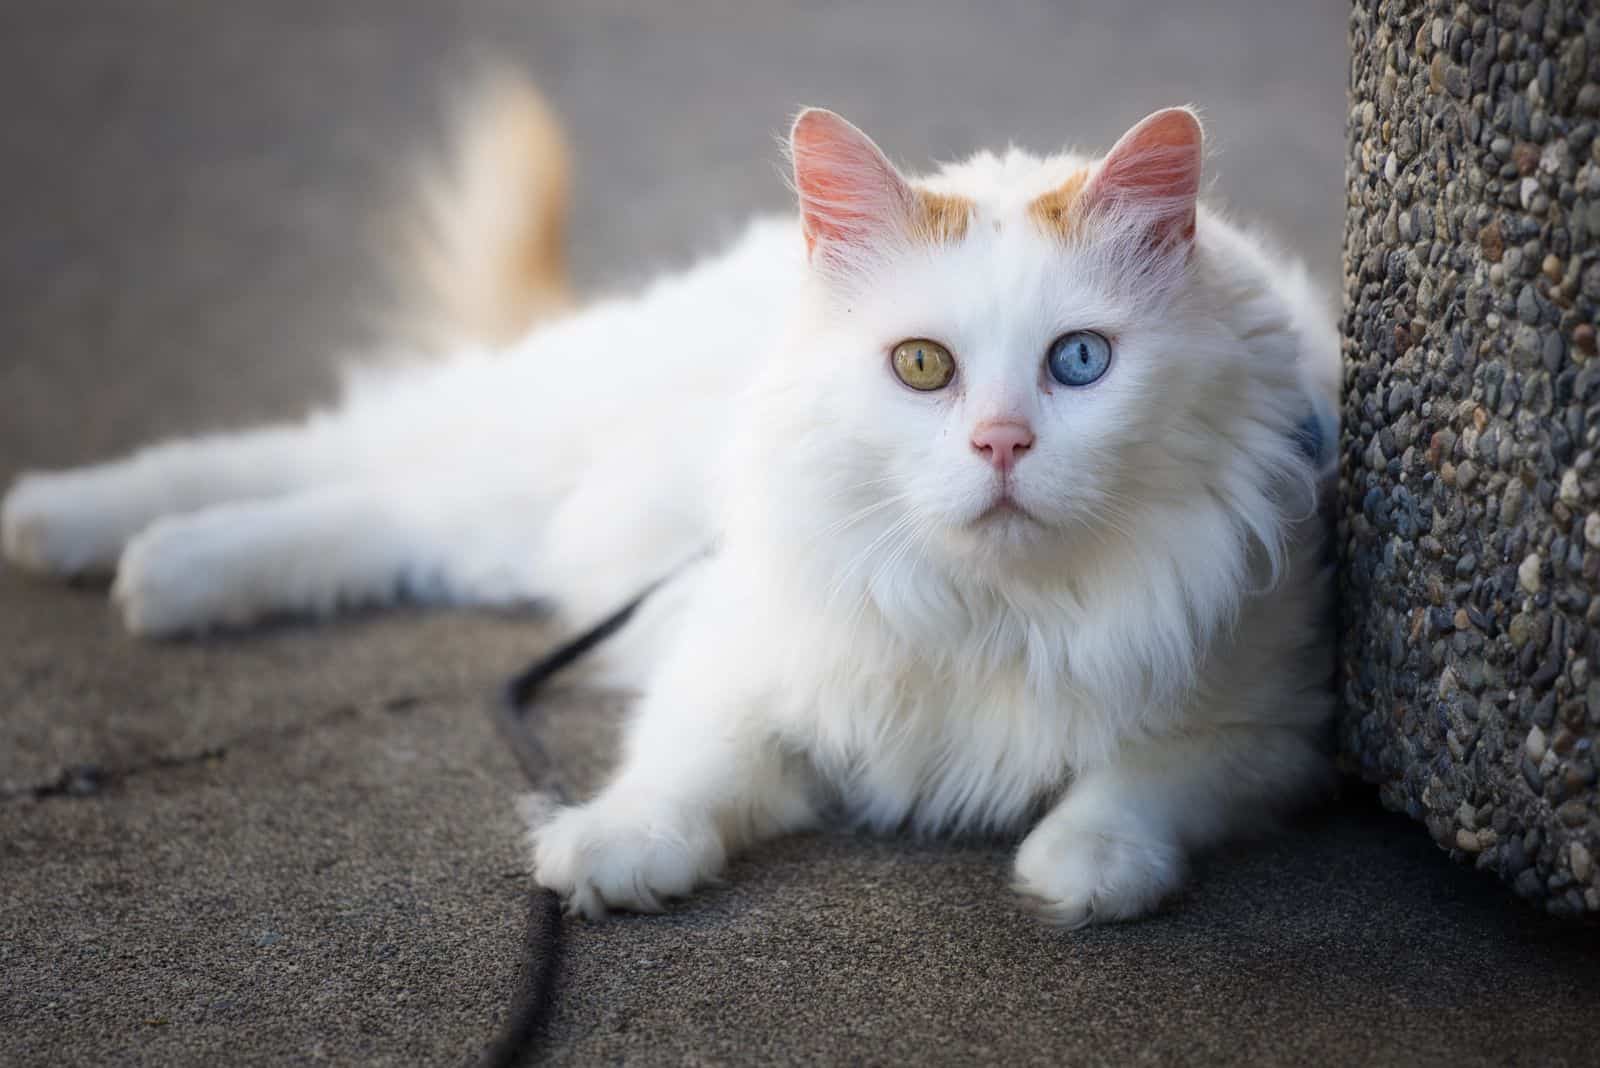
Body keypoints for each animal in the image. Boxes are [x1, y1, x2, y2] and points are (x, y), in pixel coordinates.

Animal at [3, 79, 1337, 927]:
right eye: (921, 367)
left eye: (1079, 362)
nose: (1000, 443)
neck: (992, 610)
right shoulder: (740, 644)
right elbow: (683, 764)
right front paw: (610, 853)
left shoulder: (1271, 722)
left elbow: (1144, 780)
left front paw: (1081, 867)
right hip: (517, 443)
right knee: (301, 454)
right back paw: (77, 527)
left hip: (505, 525)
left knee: (365, 518)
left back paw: (164, 574)